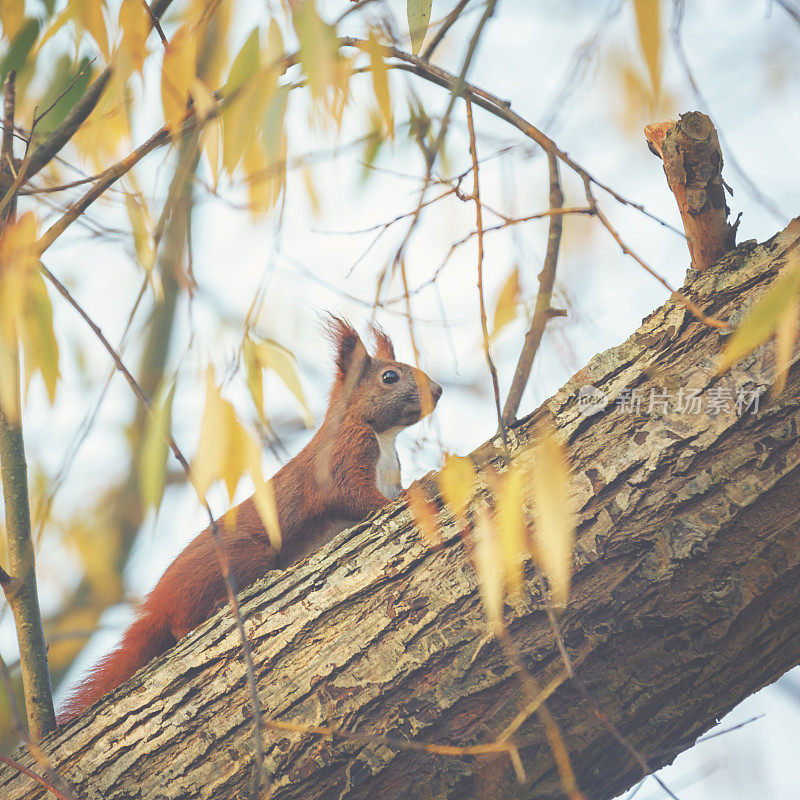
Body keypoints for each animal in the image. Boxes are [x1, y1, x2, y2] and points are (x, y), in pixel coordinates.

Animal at [58, 318, 440, 724]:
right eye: (389, 377)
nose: (437, 390)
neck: (384, 438)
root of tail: (156, 605)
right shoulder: (340, 460)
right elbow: (353, 497)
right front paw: (400, 499)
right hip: (243, 557)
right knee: (180, 624)